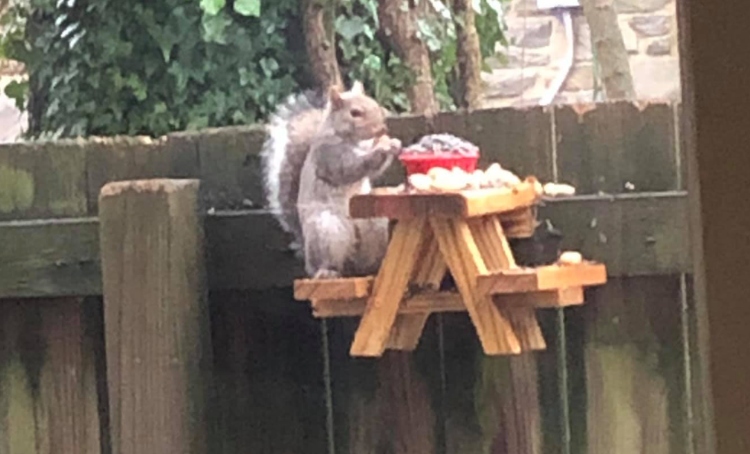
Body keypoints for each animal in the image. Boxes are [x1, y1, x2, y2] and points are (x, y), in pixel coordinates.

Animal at [262, 82, 402, 280]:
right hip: (327, 231)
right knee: (329, 263)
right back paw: (327, 271)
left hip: (373, 226)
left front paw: (393, 144)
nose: (381, 129)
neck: (354, 140)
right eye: (355, 113)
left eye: (374, 103)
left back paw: (372, 267)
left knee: (361, 264)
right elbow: (351, 167)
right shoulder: (329, 155)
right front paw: (382, 147)